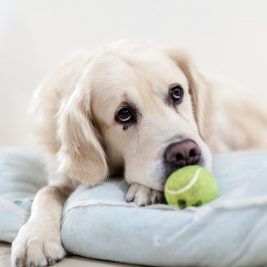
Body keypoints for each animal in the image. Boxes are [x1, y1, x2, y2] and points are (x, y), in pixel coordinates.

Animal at [10, 42, 267, 267]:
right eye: (124, 114)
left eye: (176, 92)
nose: (184, 153)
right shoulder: (64, 176)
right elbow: (47, 192)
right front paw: (35, 237)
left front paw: (146, 188)